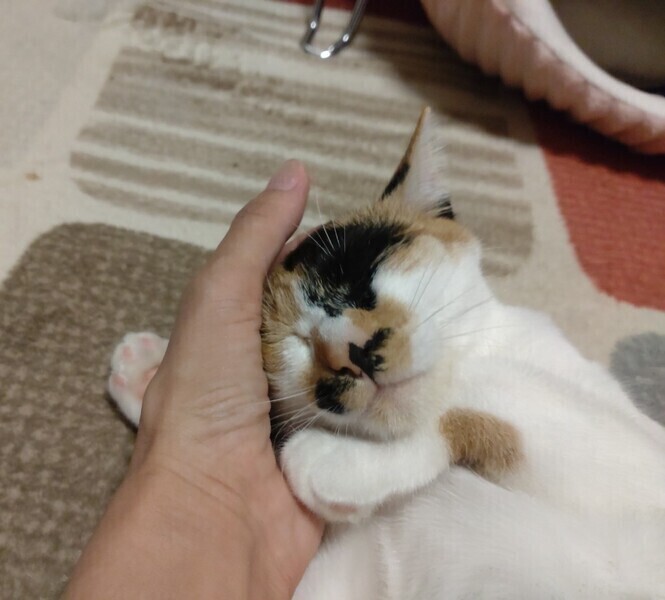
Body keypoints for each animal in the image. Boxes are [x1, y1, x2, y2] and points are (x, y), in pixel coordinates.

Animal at [108, 108, 665, 599]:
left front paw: (331, 458)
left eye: (363, 276)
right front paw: (149, 373)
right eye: (291, 340)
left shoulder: (631, 453)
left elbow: (483, 389)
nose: (347, 351)